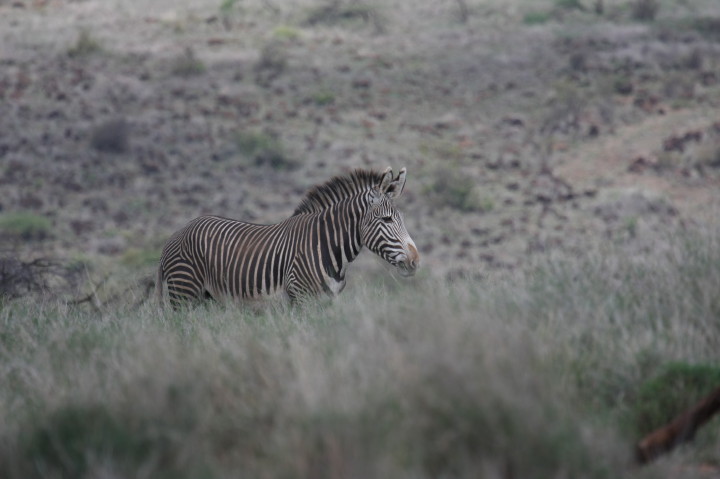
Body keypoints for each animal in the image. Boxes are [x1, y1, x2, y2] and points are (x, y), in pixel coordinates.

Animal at [156, 167, 420, 308]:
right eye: (387, 220)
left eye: (401, 219)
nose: (415, 261)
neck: (326, 245)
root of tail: (175, 234)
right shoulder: (301, 298)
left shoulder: (328, 301)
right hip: (184, 293)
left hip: (206, 297)